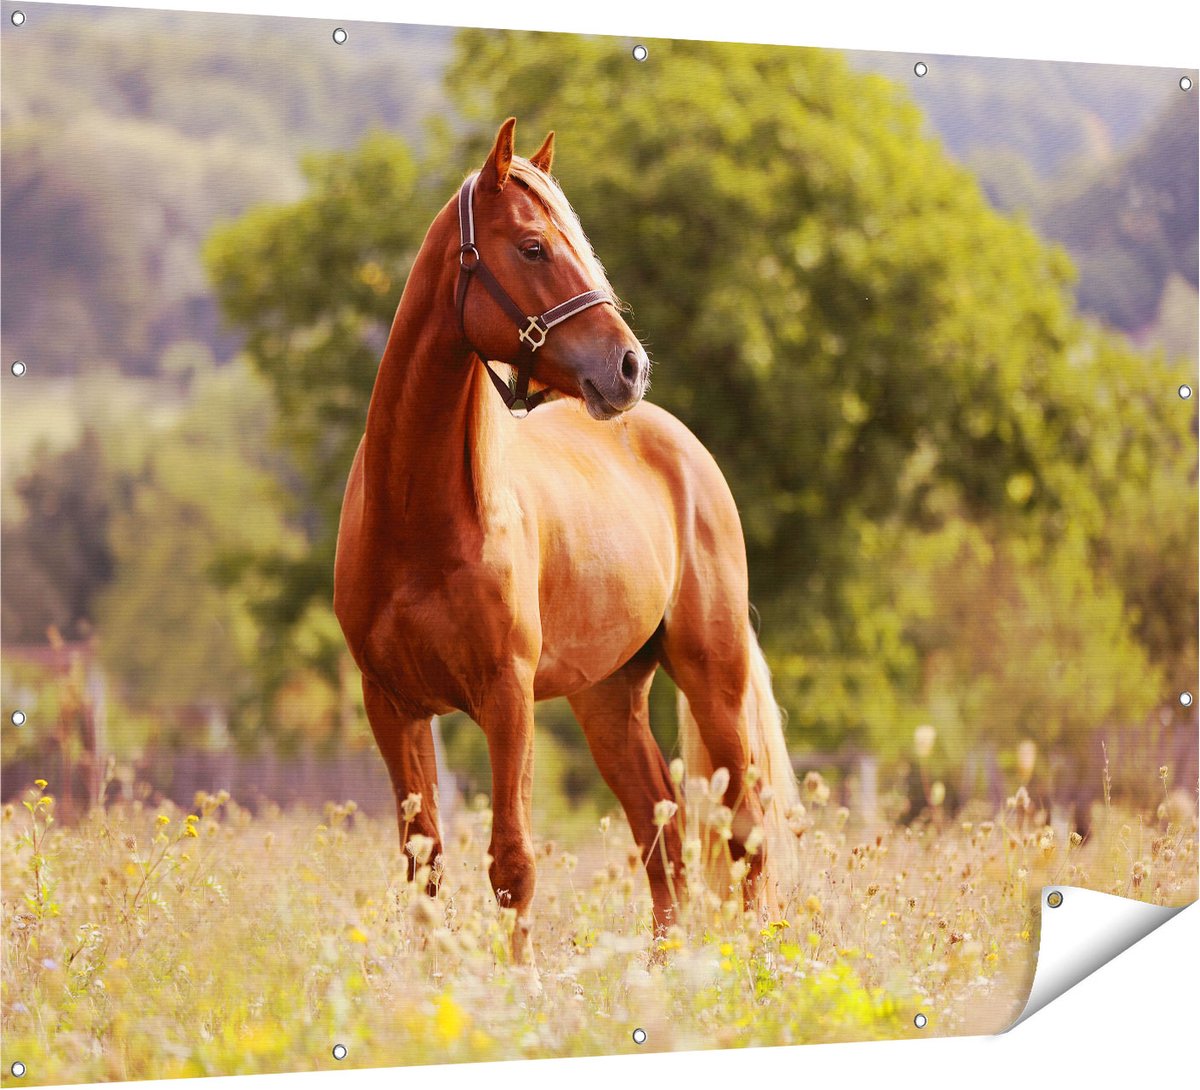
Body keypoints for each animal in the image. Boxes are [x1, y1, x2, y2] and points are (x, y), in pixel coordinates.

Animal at [334, 118, 802, 965]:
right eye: (531, 247)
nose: (629, 366)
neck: (420, 518)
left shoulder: (506, 696)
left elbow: (512, 862)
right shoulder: (392, 705)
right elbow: (425, 866)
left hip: (710, 676)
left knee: (745, 829)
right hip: (607, 698)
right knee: (663, 835)